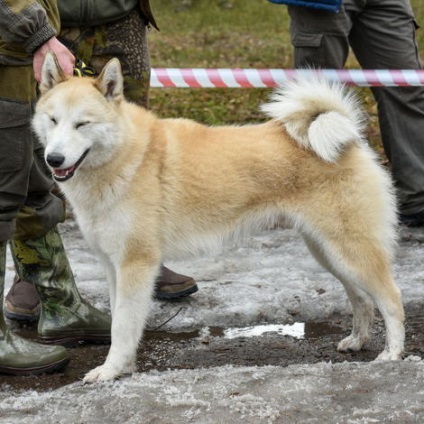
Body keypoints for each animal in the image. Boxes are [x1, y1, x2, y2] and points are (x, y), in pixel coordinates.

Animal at [34, 53, 404, 384]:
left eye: (82, 123)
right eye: (53, 120)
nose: (54, 159)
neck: (126, 157)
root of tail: (347, 138)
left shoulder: (136, 265)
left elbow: (123, 326)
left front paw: (110, 371)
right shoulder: (114, 266)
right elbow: (118, 323)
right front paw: (122, 367)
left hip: (349, 251)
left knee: (391, 299)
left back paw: (392, 354)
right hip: (328, 252)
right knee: (362, 300)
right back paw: (357, 341)